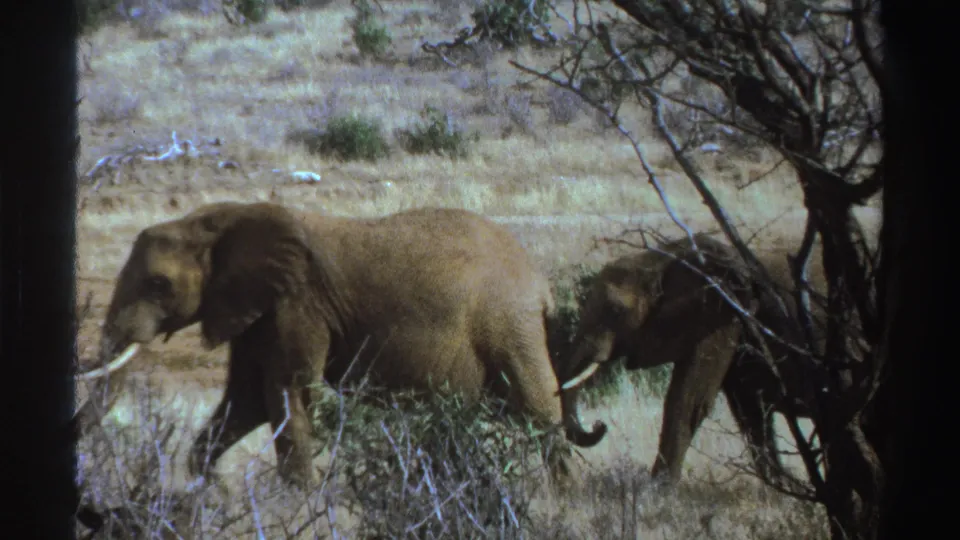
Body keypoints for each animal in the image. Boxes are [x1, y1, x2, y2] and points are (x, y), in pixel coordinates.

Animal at [74, 201, 608, 490]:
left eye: (158, 285)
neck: (218, 219)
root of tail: (539, 282)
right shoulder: (258, 311)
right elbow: (245, 402)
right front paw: (208, 490)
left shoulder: (298, 303)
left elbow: (288, 390)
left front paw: (299, 501)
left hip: (510, 325)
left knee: (539, 411)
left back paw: (561, 498)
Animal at [559, 232, 826, 485]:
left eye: (616, 311)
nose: (599, 424)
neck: (662, 258)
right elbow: (748, 410)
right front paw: (788, 486)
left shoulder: (720, 316)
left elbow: (690, 399)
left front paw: (658, 489)